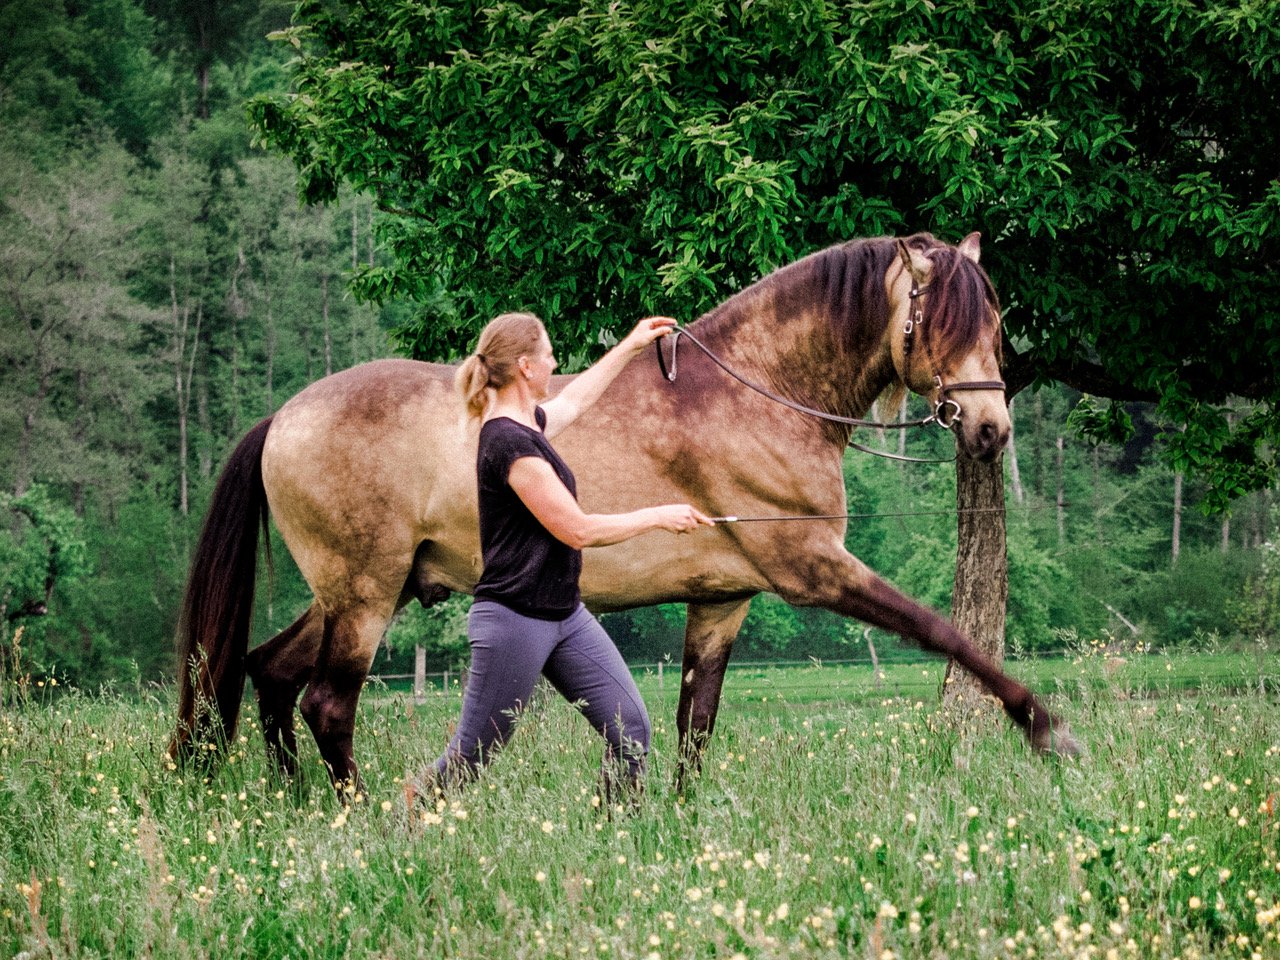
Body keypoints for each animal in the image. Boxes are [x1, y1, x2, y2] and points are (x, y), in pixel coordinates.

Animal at [169, 231, 1080, 794]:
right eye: (944, 321)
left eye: (997, 321)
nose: (991, 429)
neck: (757, 393)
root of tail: (282, 417)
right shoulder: (815, 568)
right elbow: (943, 631)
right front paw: (1046, 729)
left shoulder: (724, 599)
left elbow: (694, 720)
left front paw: (682, 819)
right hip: (363, 595)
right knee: (326, 701)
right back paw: (353, 813)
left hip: (363, 593)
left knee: (271, 673)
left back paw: (298, 805)